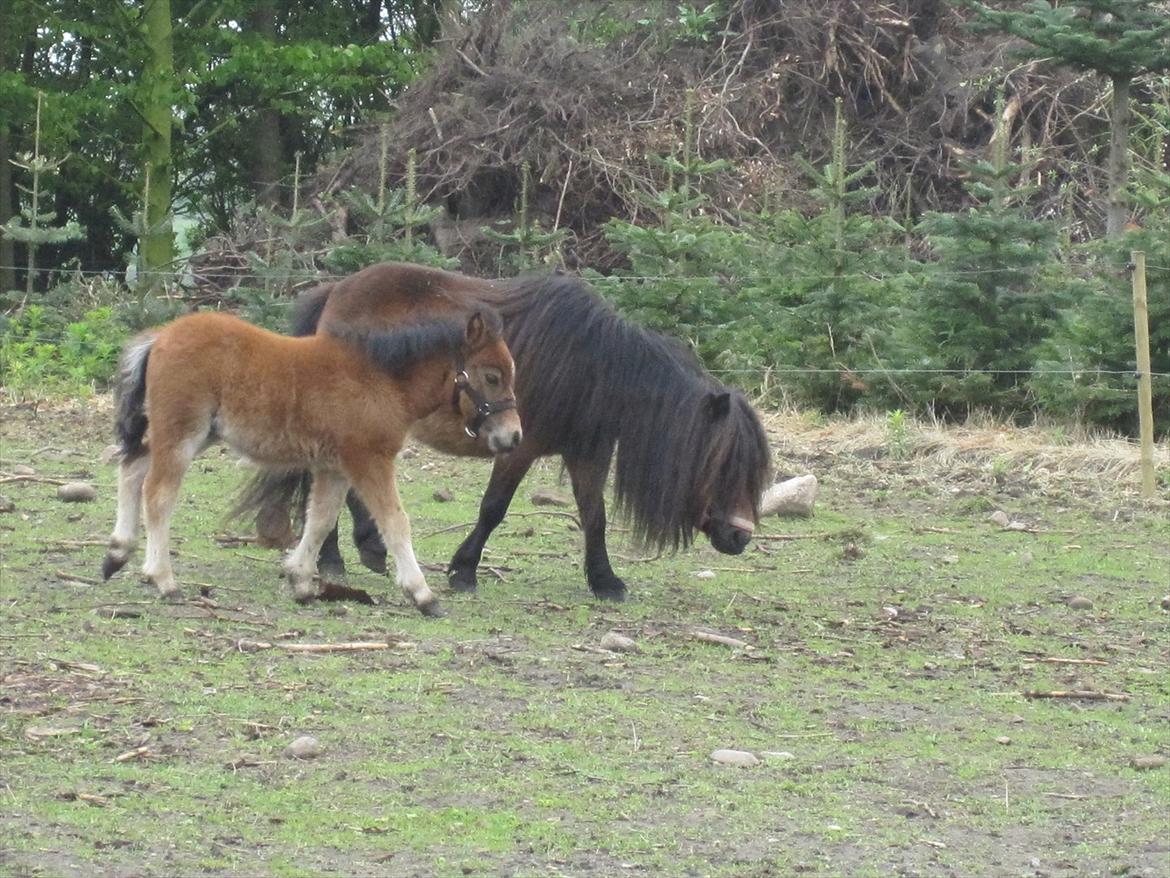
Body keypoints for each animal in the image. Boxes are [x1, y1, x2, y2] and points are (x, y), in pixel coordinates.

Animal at [100, 309, 521, 618]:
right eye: (492, 376)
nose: (514, 437)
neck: (380, 378)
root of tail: (160, 337)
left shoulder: (334, 467)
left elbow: (320, 520)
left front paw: (300, 581)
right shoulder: (369, 460)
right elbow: (395, 522)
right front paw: (423, 595)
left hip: (193, 435)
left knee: (132, 467)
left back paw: (117, 554)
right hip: (182, 433)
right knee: (158, 494)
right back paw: (163, 580)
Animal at [241, 264, 772, 604]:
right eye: (724, 464)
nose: (741, 536)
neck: (594, 365)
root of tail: (334, 291)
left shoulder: (588, 454)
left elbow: (594, 518)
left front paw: (605, 581)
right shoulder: (519, 445)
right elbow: (493, 508)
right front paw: (463, 570)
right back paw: (341, 555)